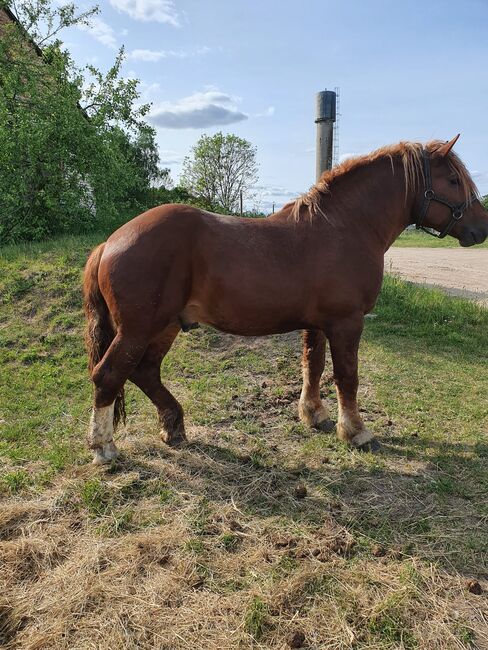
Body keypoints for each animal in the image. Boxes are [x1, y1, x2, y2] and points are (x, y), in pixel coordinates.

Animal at [84, 135, 488, 460]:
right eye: (453, 180)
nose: (481, 228)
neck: (344, 228)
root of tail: (110, 242)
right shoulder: (346, 322)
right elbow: (347, 376)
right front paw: (355, 432)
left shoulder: (318, 324)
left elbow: (314, 367)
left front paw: (314, 415)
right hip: (138, 329)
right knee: (108, 375)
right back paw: (103, 447)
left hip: (165, 326)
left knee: (145, 372)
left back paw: (173, 427)